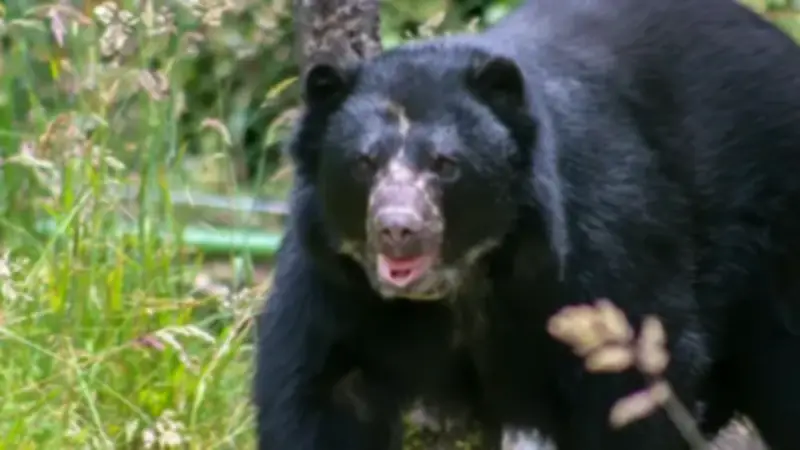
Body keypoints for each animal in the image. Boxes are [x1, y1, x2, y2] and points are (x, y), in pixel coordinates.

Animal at [253, 0, 800, 449]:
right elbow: (320, 395)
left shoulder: (603, 246)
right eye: (364, 163)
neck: (465, 276)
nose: (397, 229)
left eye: (445, 164)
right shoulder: (336, 281)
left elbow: (632, 391)